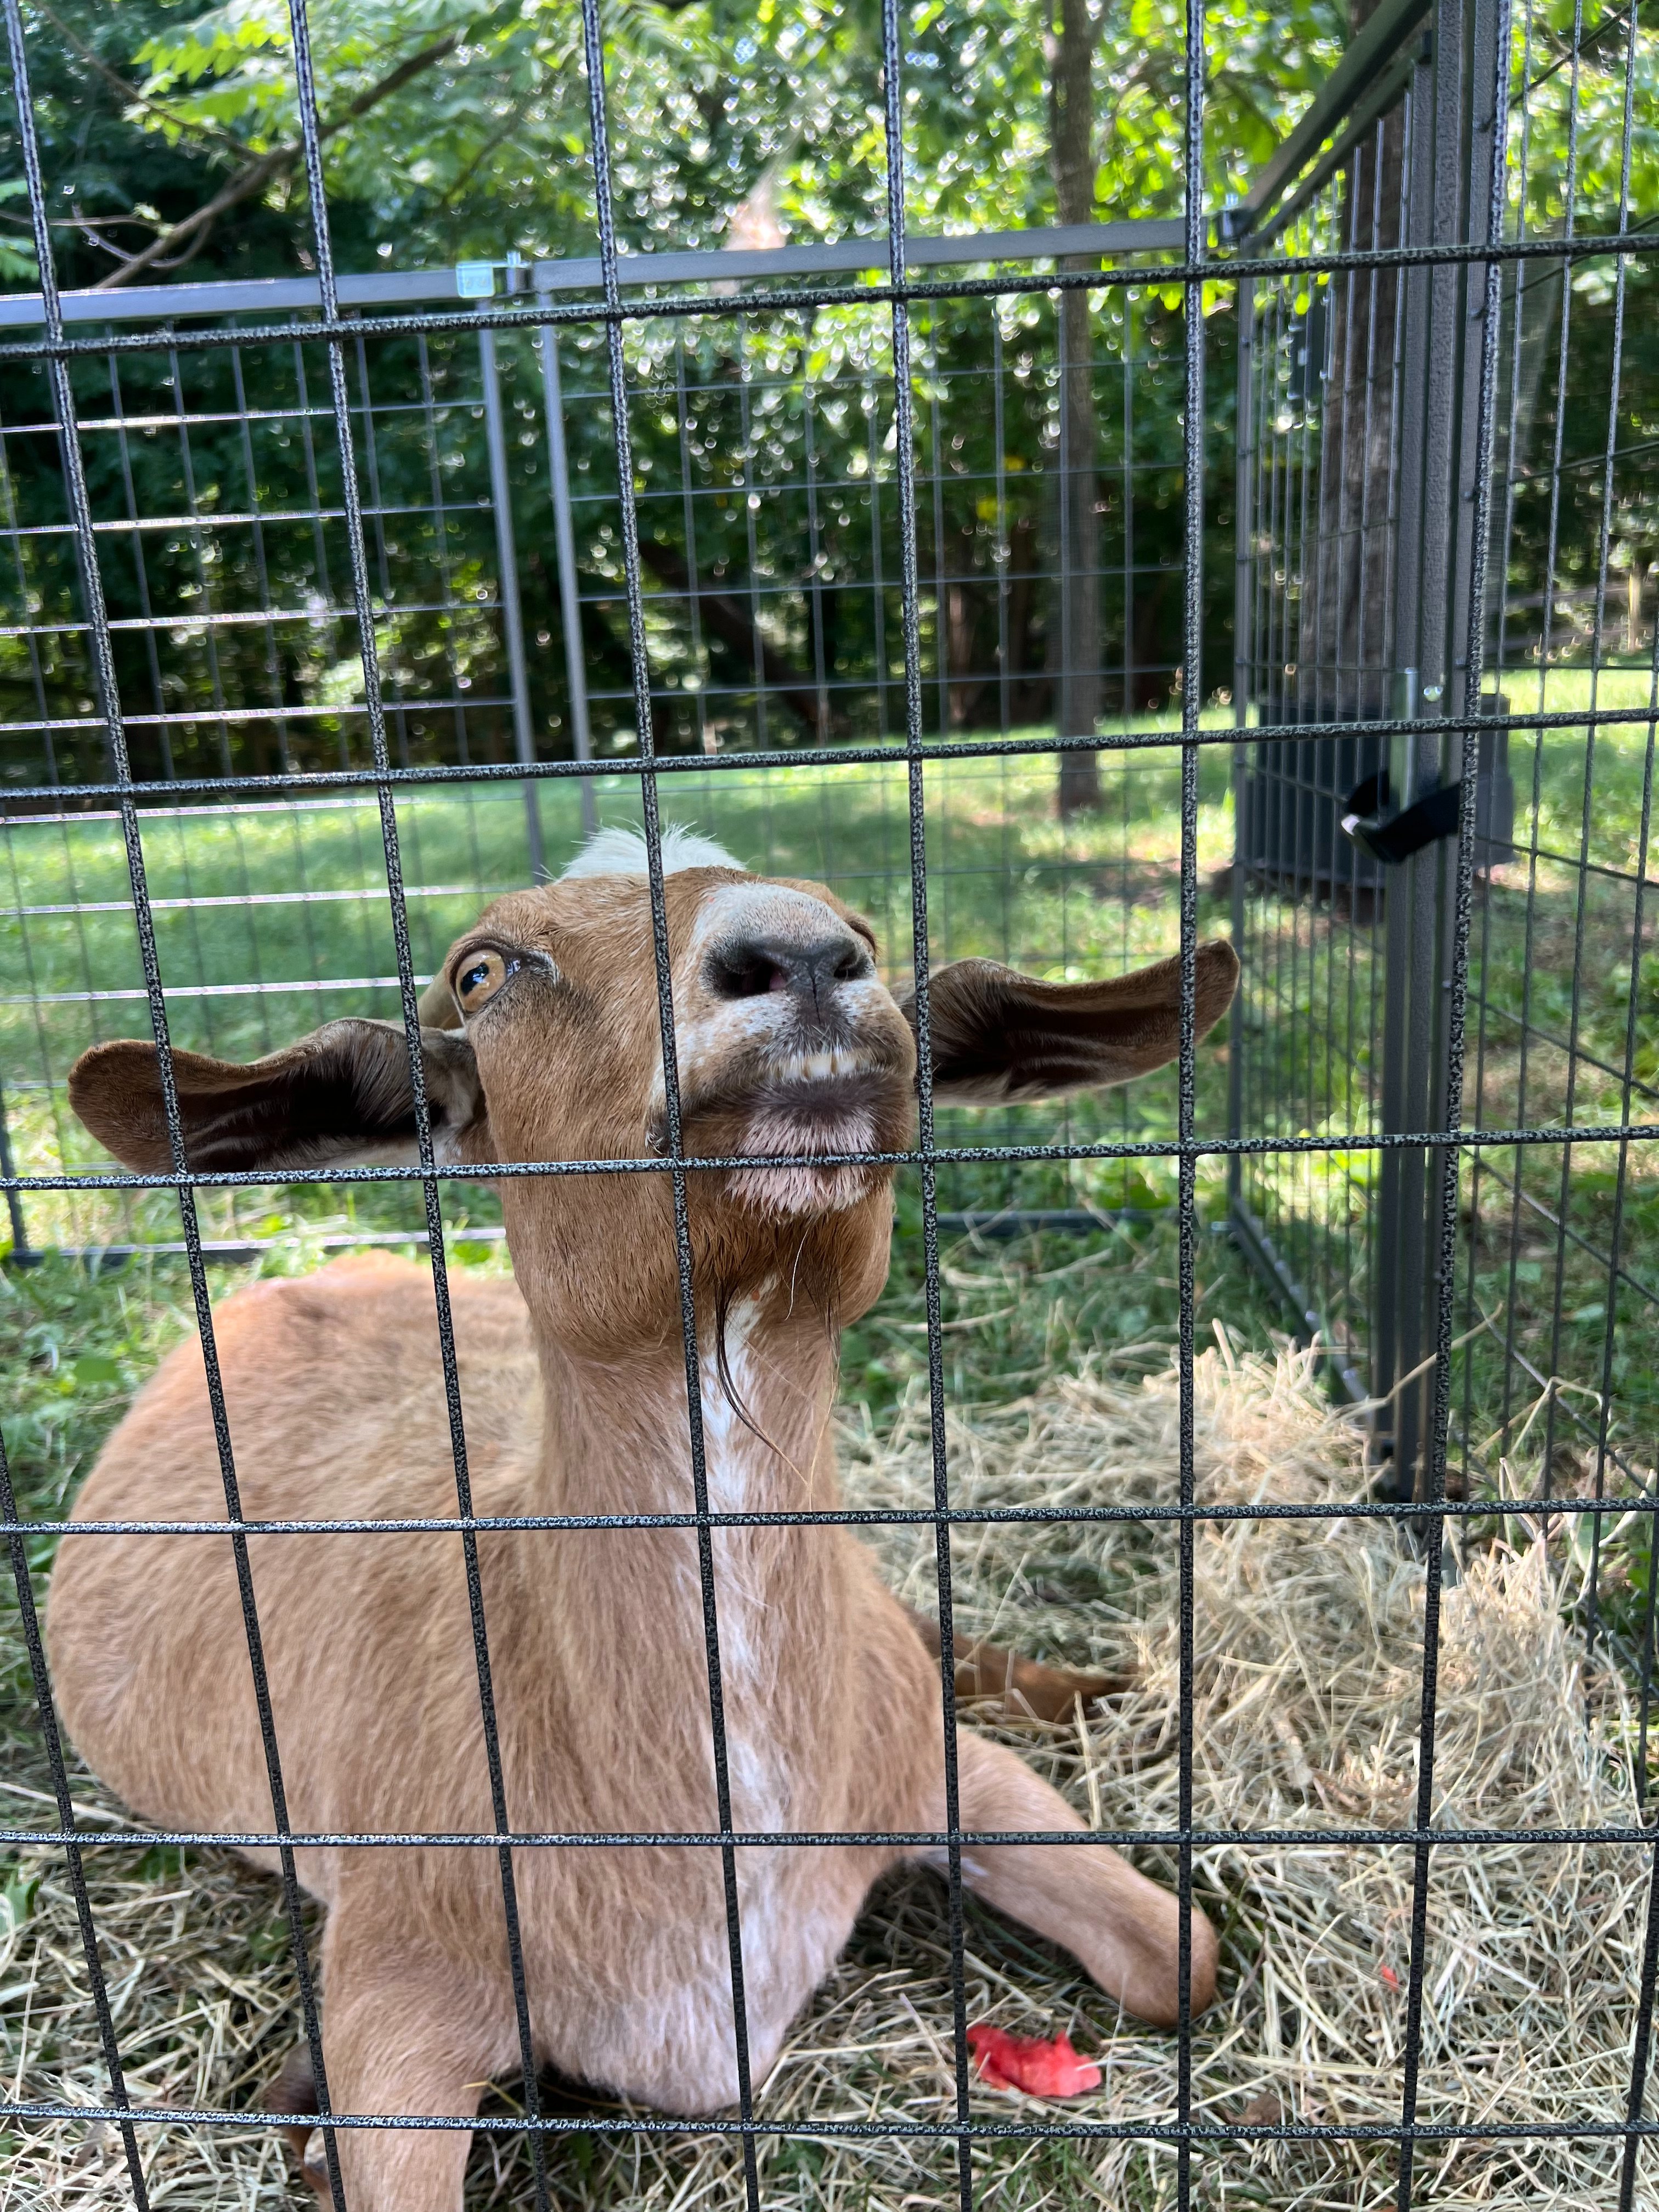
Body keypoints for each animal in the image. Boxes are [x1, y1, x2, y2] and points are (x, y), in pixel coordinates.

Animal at [51, 826, 1239, 2212]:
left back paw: (1107, 1685)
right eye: (482, 970)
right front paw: (311, 2112)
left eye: (862, 926)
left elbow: (1182, 1958)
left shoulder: (926, 1760)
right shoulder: (405, 1962)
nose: (799, 954)